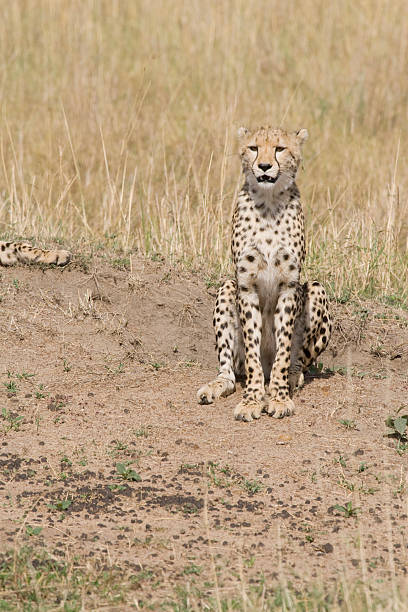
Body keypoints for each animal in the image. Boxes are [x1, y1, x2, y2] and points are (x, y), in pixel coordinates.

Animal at [198, 124, 332, 420]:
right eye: (254, 148)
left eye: (280, 148)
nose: (264, 166)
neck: (269, 203)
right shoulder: (246, 285)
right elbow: (252, 351)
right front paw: (251, 400)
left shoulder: (289, 285)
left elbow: (283, 350)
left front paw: (279, 398)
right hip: (227, 287)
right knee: (230, 370)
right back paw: (216, 386)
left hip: (316, 289)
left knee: (299, 361)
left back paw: (290, 379)